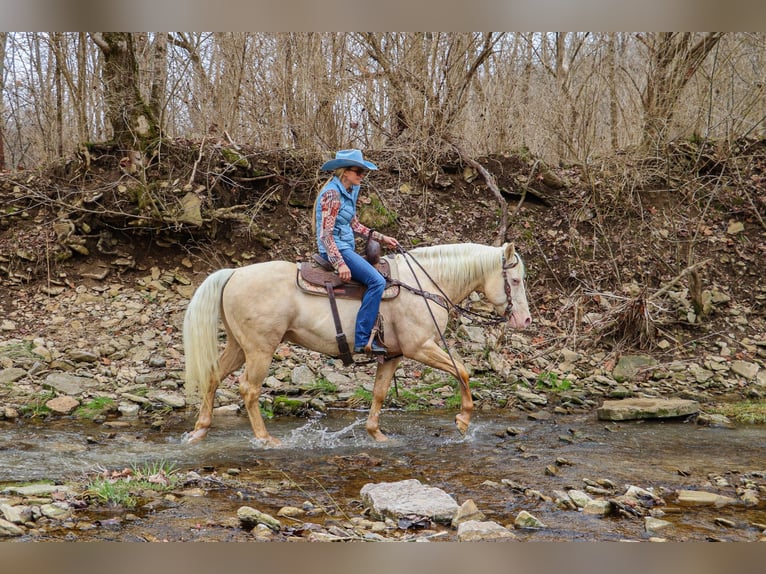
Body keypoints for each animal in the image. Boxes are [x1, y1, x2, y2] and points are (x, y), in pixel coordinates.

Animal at [184, 243, 536, 446]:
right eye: (515, 280)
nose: (525, 320)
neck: (424, 285)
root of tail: (232, 274)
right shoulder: (420, 347)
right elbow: (462, 371)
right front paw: (463, 421)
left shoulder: (393, 355)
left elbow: (379, 393)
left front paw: (376, 433)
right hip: (260, 349)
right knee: (249, 389)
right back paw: (265, 438)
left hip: (238, 346)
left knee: (213, 377)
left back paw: (200, 430)